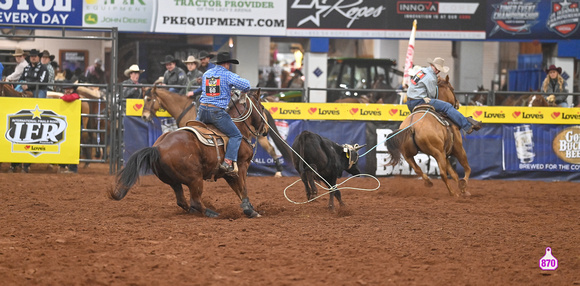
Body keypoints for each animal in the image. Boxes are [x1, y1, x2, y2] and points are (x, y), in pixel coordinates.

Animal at [111, 90, 268, 218]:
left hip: (173, 181)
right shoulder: (241, 165)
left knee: (182, 201)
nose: (266, 129)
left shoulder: (229, 174)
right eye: (263, 108)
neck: (239, 128)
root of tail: (158, 148)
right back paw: (213, 213)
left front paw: (250, 208)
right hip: (195, 178)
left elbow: (239, 190)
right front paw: (250, 211)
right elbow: (243, 189)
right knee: (195, 201)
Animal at [142, 86, 292, 178]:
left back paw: (278, 172)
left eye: (148, 99)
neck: (184, 108)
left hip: (260, 136)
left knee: (271, 149)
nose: (144, 116)